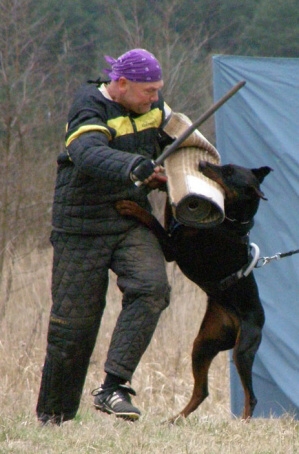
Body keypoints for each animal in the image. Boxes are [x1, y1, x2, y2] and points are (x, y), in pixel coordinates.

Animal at [116, 161, 274, 420]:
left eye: (228, 172)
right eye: (226, 166)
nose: (202, 163)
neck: (230, 222)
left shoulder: (172, 248)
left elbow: (152, 220)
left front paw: (130, 206)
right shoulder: (175, 231)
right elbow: (170, 211)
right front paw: (160, 180)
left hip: (243, 349)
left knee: (251, 396)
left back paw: (242, 421)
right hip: (203, 344)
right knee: (201, 391)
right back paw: (175, 419)